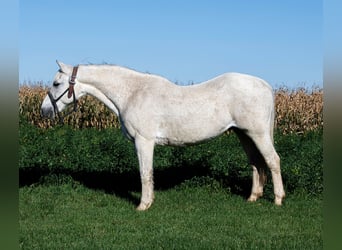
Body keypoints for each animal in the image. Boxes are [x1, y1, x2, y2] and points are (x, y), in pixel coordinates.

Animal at [41, 61, 284, 211]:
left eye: (56, 83)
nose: (44, 110)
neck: (132, 93)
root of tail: (263, 84)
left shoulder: (144, 141)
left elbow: (145, 173)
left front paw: (143, 205)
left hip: (258, 133)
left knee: (272, 161)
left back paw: (278, 199)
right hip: (244, 134)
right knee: (256, 163)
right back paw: (253, 197)